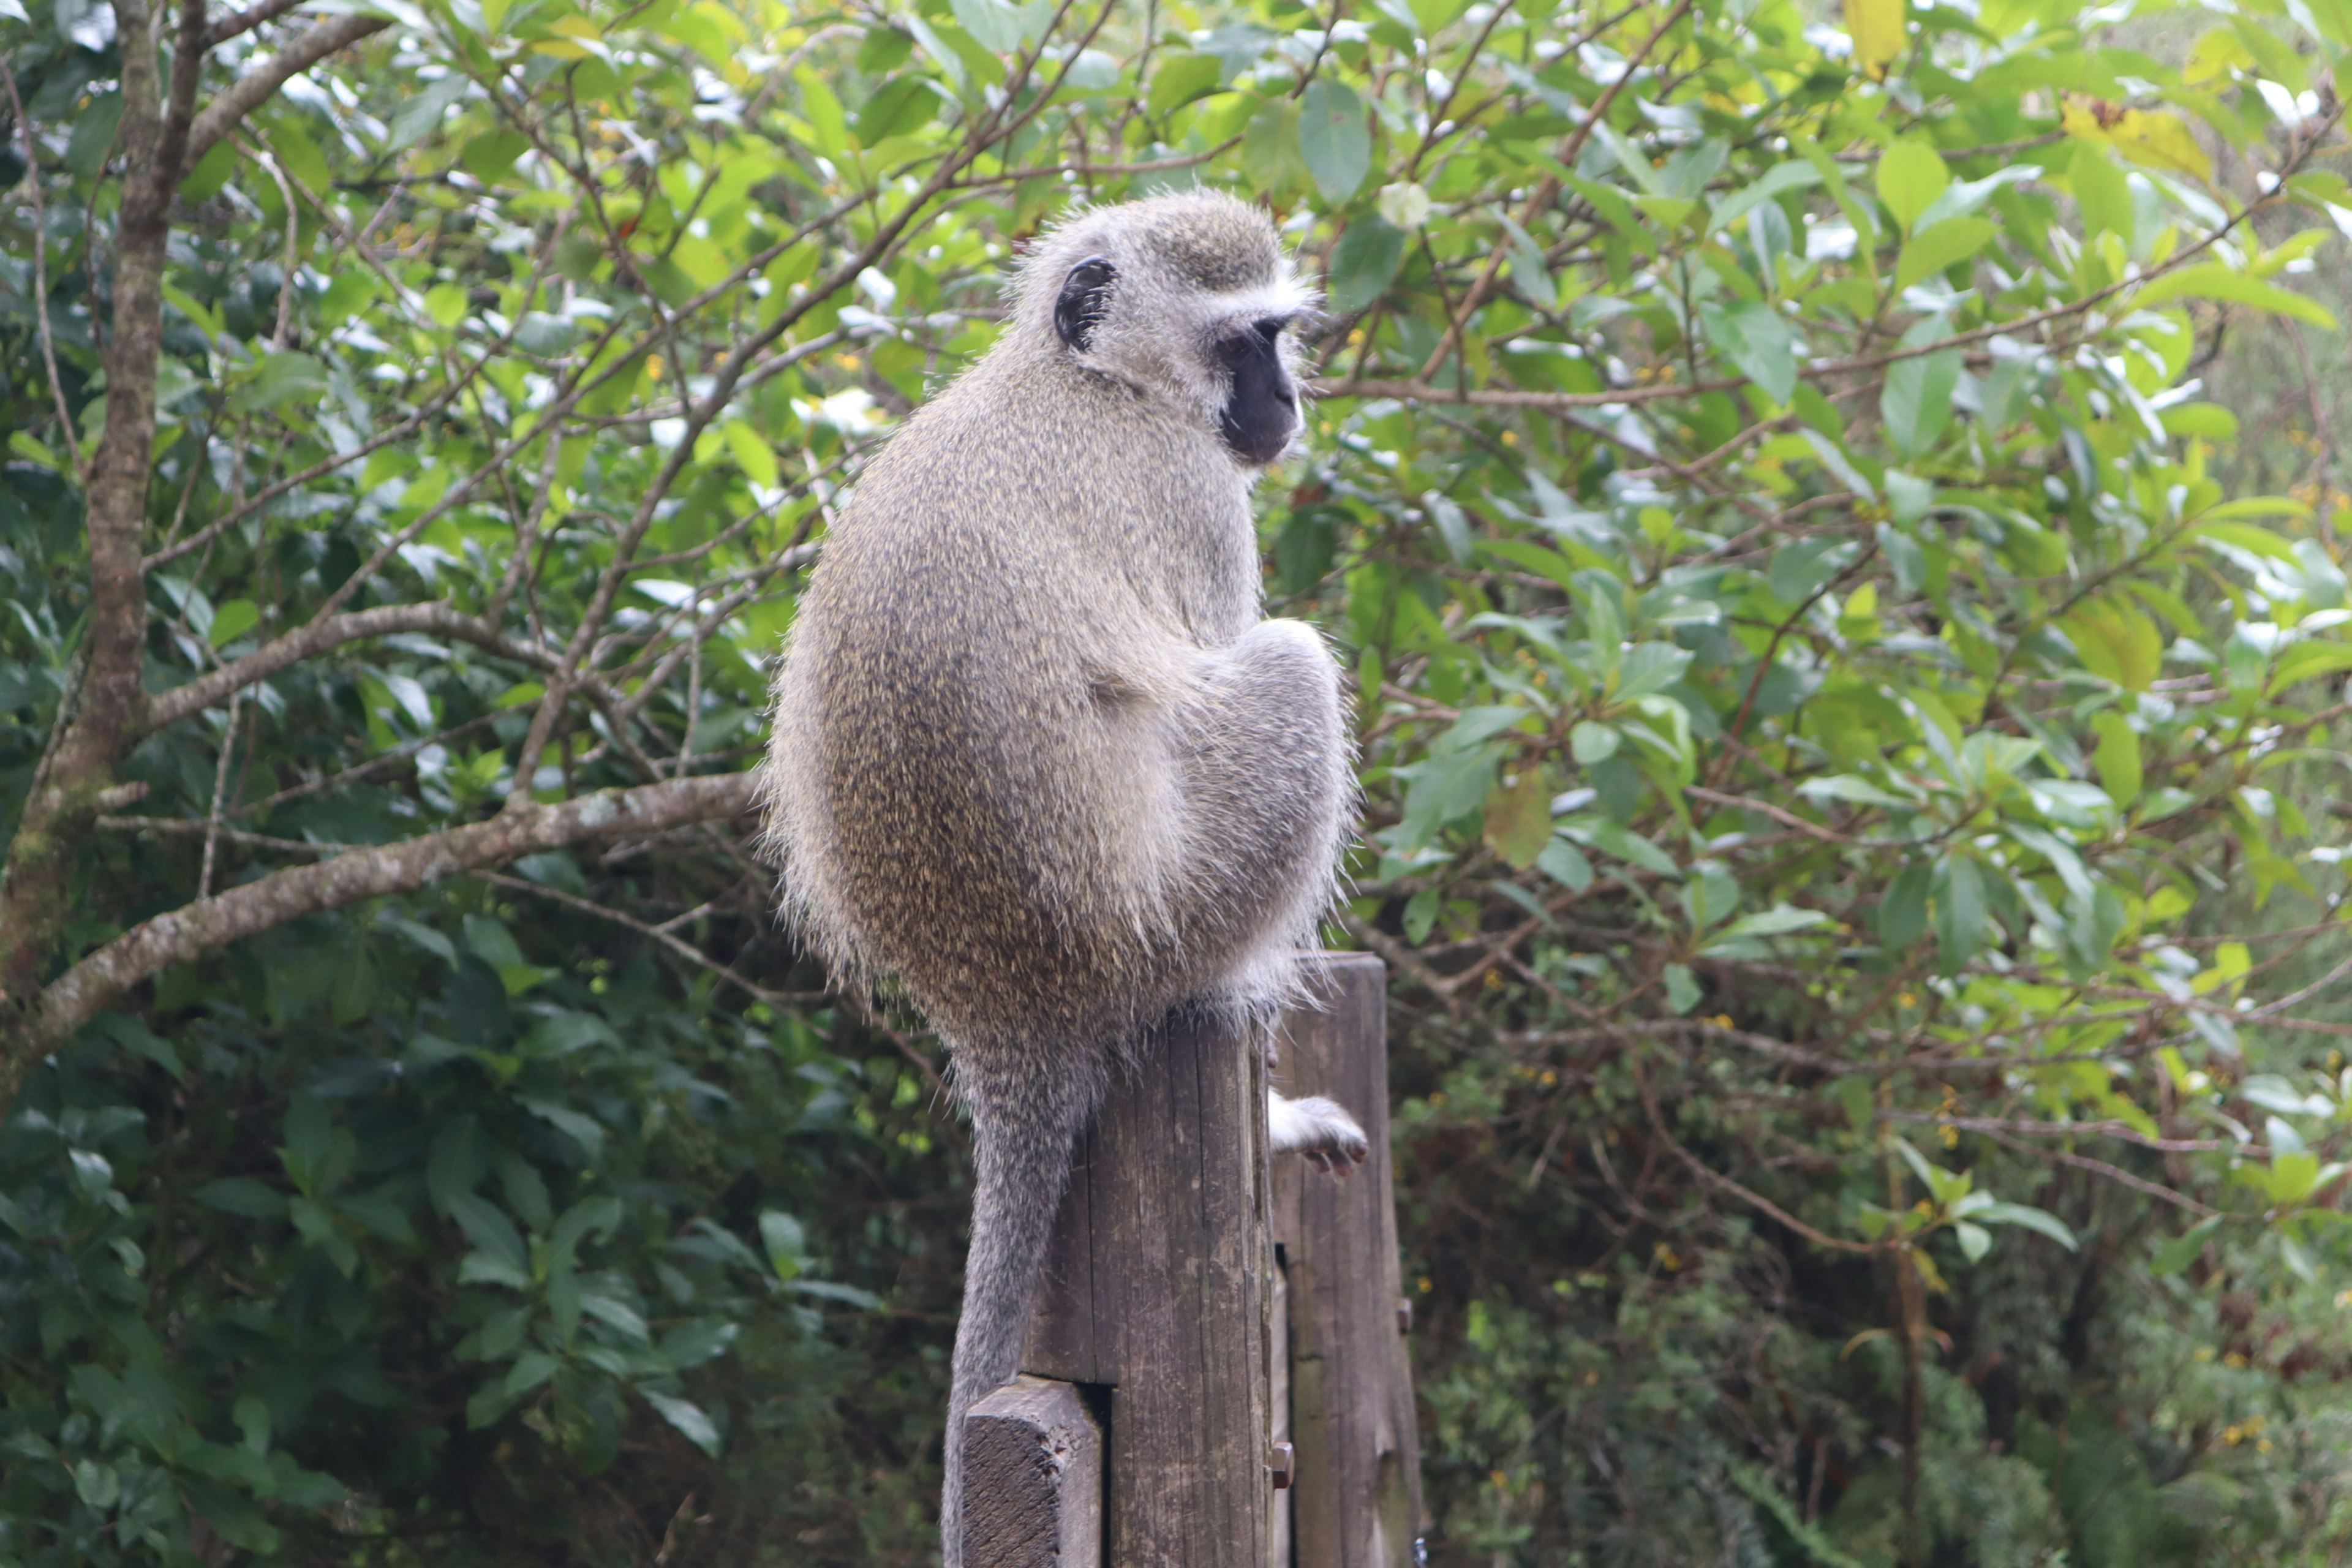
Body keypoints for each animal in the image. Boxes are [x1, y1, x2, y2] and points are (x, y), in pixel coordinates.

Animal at [762, 187, 1373, 1561]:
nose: (1285, 402)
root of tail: (1005, 1004)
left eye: (1281, 337)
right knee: (1292, 673)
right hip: (1168, 915)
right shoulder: (1197, 498)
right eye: (1241, 342)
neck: (1087, 380)